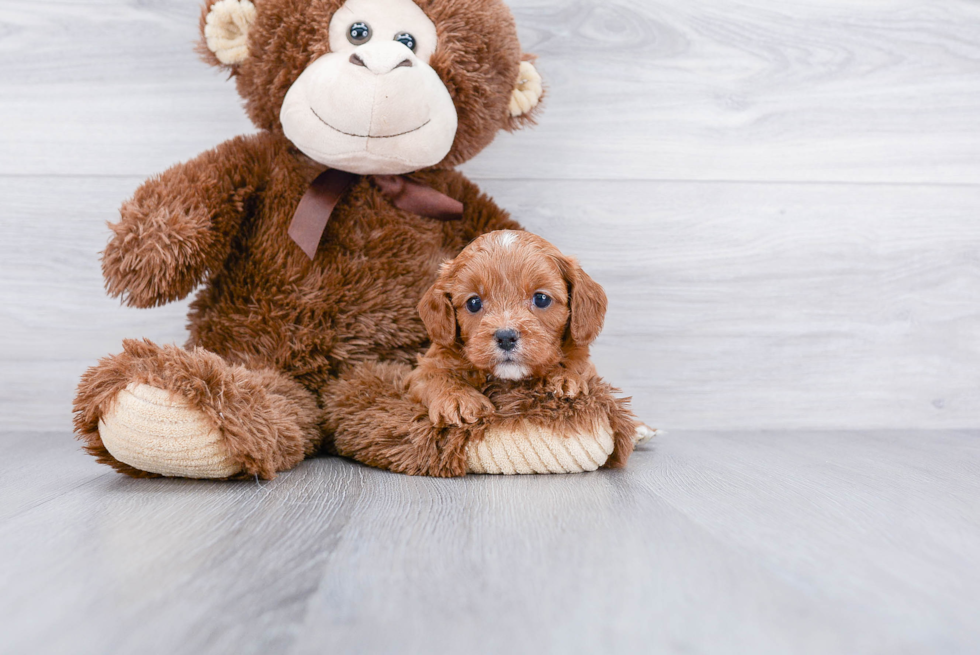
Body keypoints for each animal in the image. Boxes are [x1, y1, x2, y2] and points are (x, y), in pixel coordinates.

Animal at [404, 232, 604, 430]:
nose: (506, 337)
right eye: (473, 303)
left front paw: (563, 377)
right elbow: (436, 375)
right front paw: (458, 398)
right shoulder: (423, 369)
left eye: (541, 299)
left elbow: (574, 364)